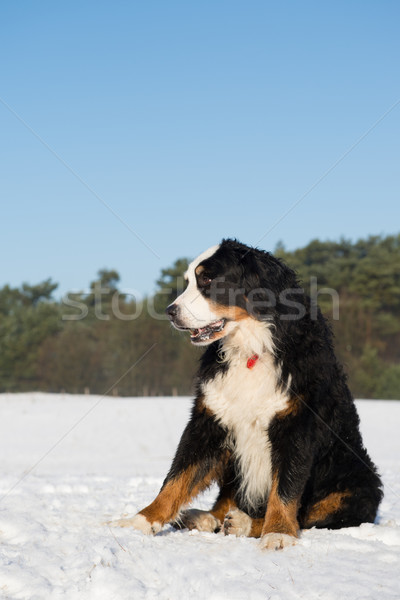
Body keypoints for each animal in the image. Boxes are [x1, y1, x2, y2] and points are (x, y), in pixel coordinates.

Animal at [114, 238, 382, 548]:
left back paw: (241, 523)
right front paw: (140, 521)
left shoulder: (296, 425)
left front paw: (278, 532)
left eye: (208, 279)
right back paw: (201, 517)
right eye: (188, 281)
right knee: (224, 502)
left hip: (359, 484)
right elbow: (177, 477)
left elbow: (285, 489)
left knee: (310, 515)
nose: (170, 311)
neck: (250, 349)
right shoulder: (209, 420)